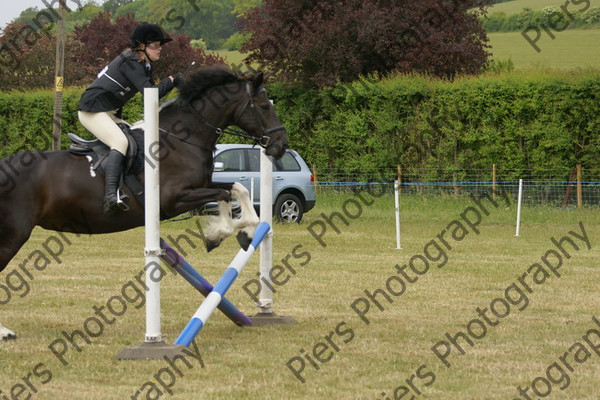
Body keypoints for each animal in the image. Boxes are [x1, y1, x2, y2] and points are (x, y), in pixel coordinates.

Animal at [0, 65, 288, 340]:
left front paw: (245, 231)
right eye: (264, 106)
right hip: (14, 234)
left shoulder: (201, 186)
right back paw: (5, 332)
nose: (280, 146)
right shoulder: (173, 200)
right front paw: (219, 233)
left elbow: (238, 189)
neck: (183, 139)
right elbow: (224, 196)